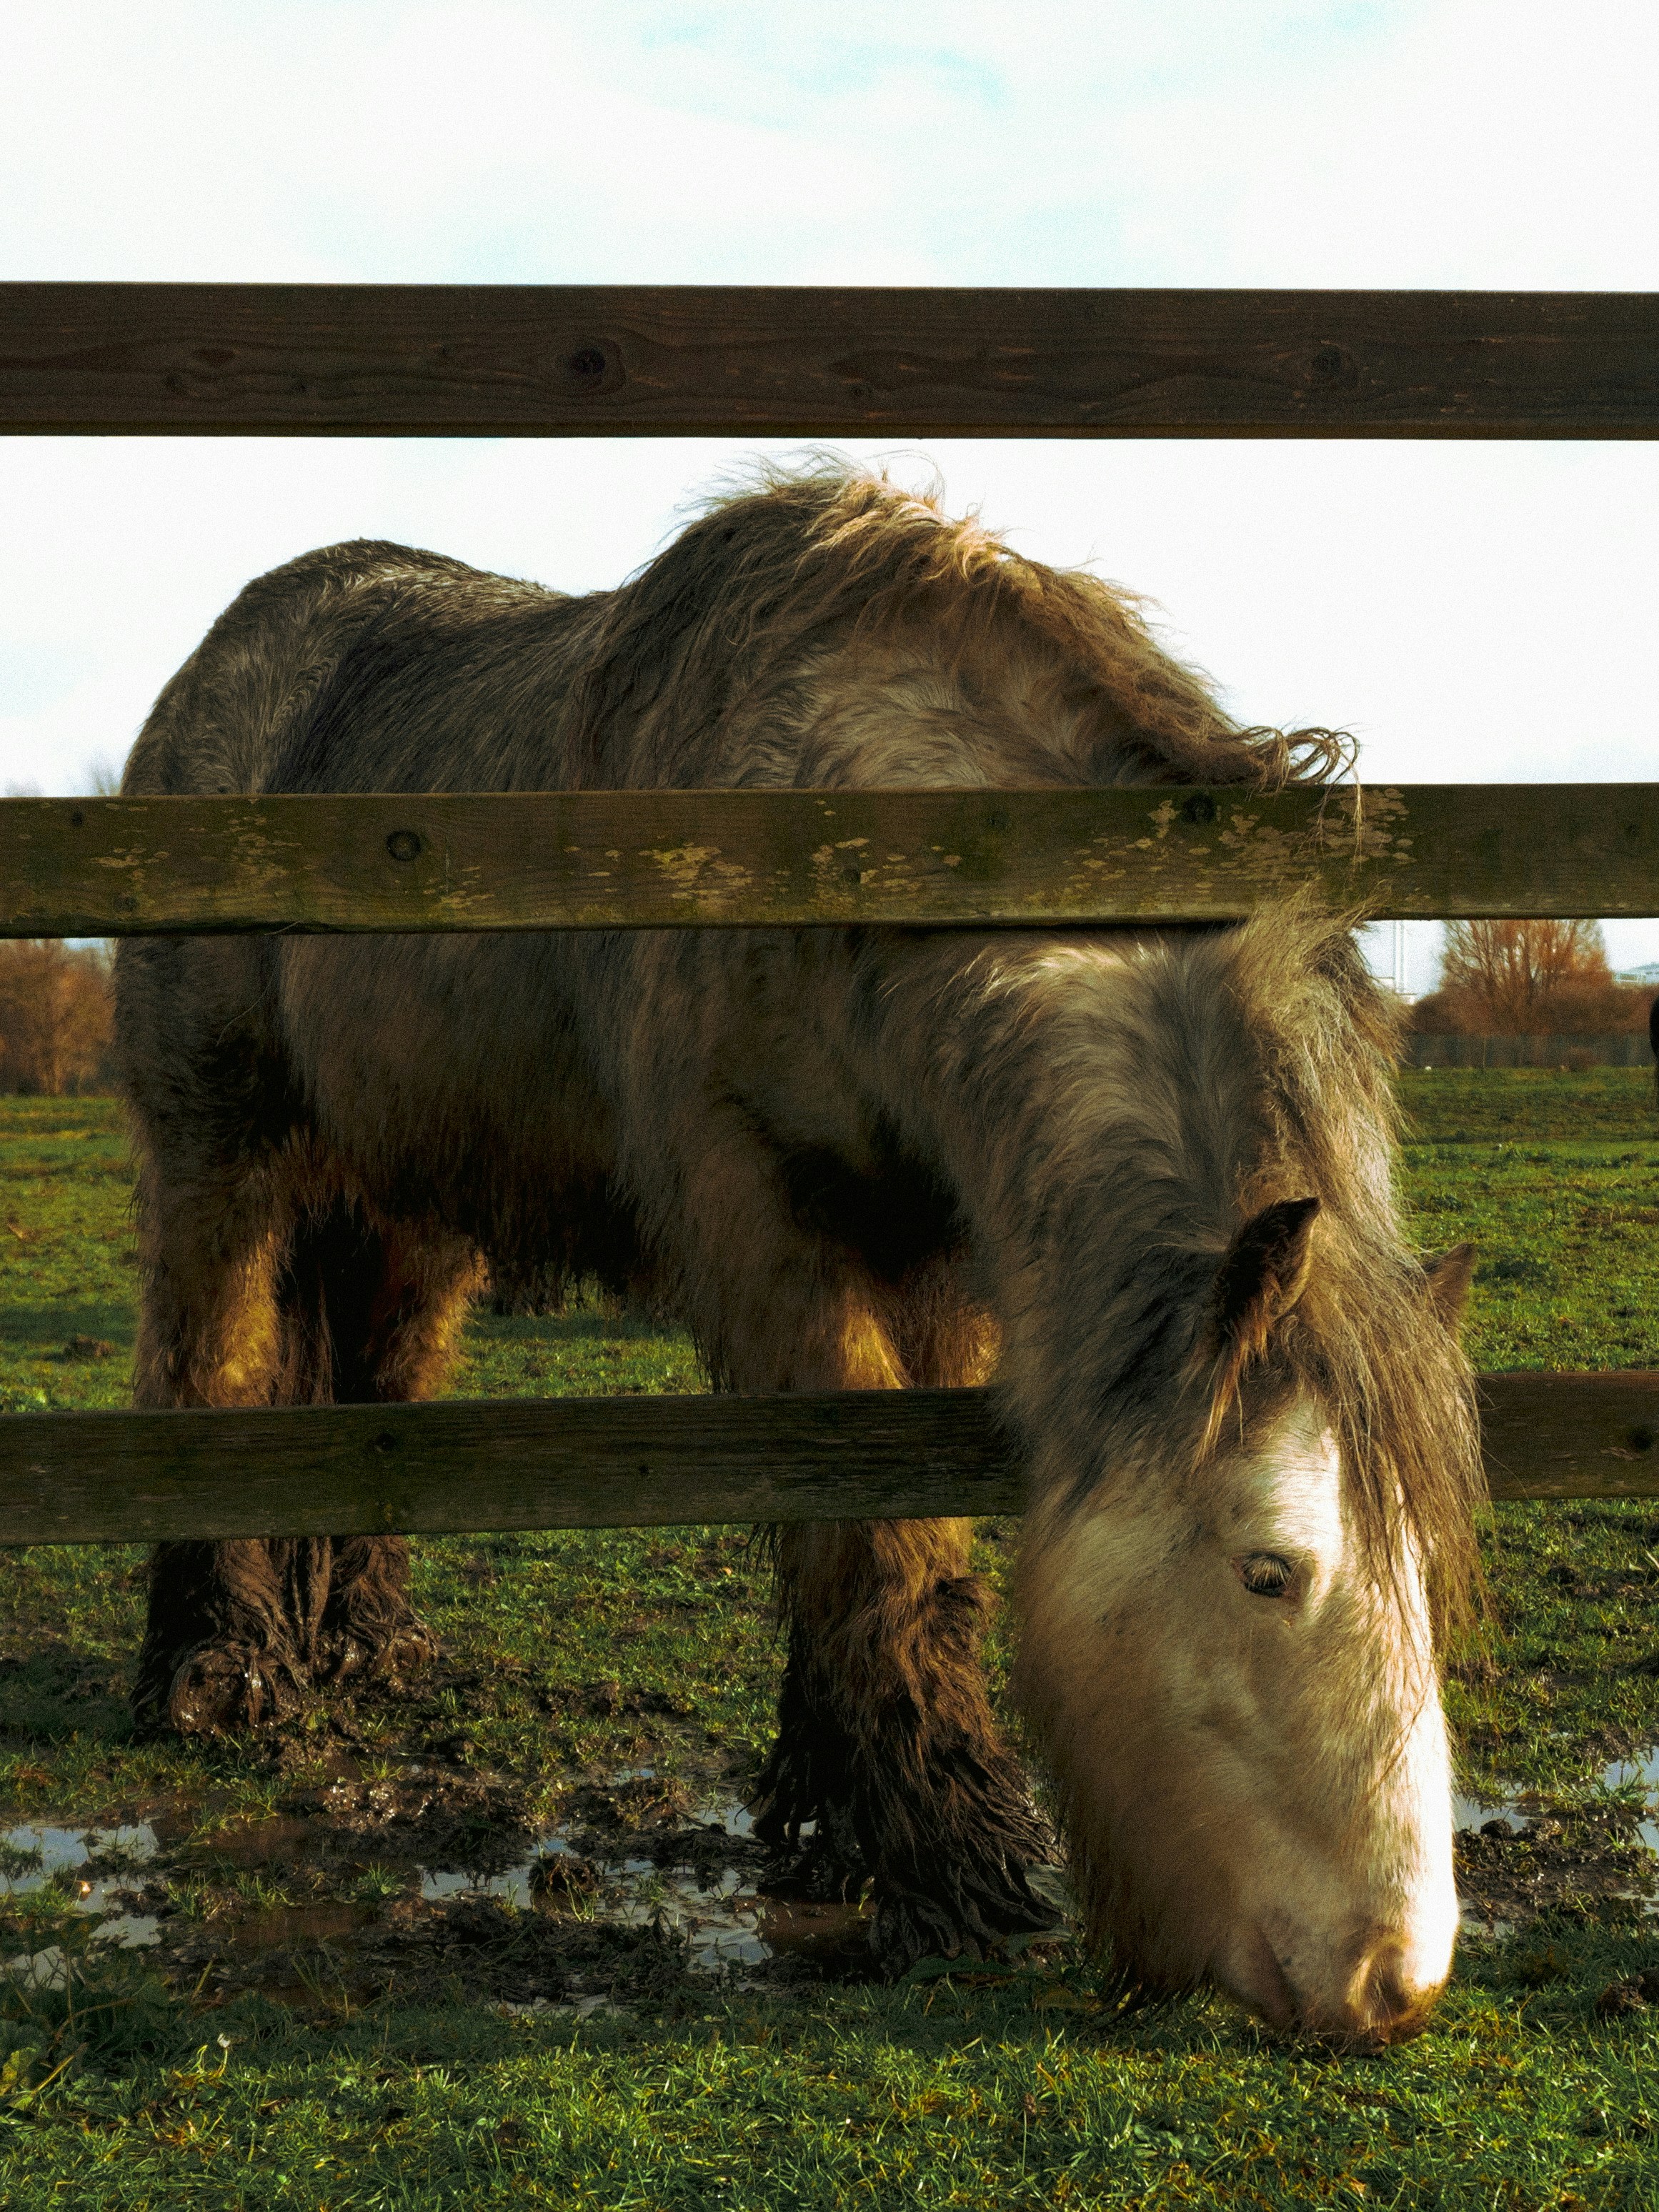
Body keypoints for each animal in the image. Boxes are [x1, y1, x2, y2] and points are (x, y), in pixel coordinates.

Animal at [113, 463, 1482, 2043]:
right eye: (1269, 1571)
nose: (1396, 1978)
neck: (846, 829)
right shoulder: (763, 1225)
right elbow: (867, 1540)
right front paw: (955, 1873)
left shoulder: (936, 1254)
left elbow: (897, 1536)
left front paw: (833, 1817)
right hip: (221, 1149)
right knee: (209, 1366)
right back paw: (217, 1667)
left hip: (415, 1202)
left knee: (376, 1398)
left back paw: (368, 1644)